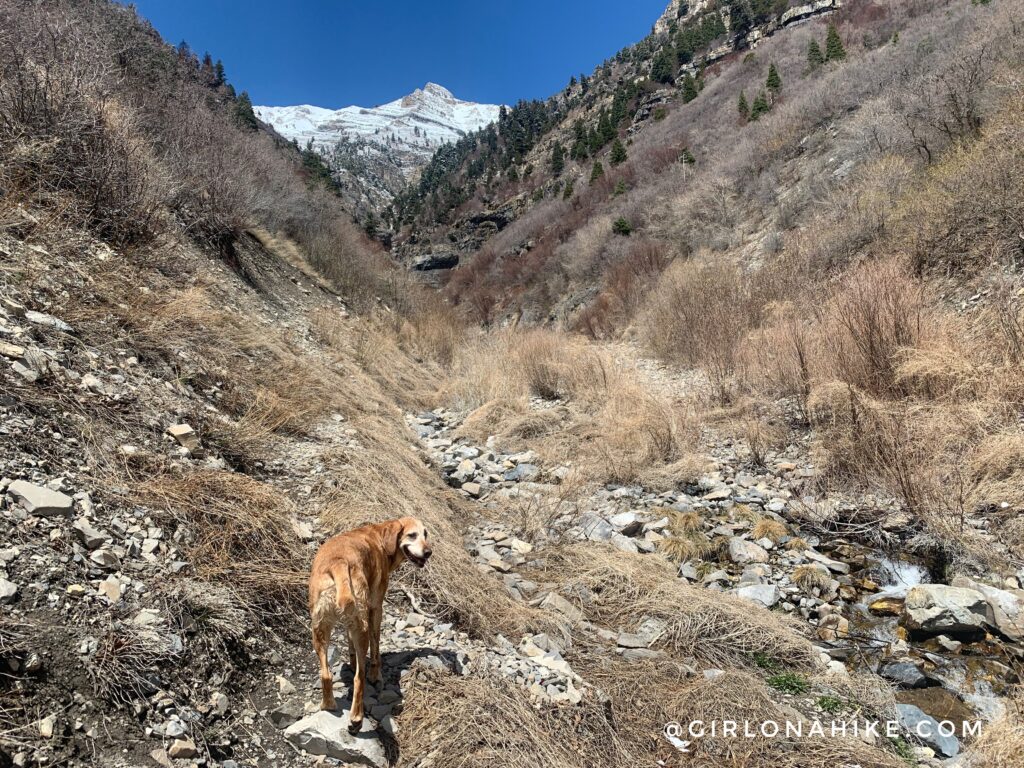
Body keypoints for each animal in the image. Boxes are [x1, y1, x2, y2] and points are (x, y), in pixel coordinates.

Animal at [305, 518, 430, 733]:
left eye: (426, 534)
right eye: (412, 535)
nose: (429, 552)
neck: (379, 536)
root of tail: (338, 562)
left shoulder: (352, 622)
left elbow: (349, 642)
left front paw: (352, 660)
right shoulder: (375, 607)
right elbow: (376, 645)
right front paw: (375, 673)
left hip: (320, 628)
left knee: (326, 674)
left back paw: (328, 704)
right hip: (360, 625)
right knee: (359, 678)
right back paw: (356, 718)